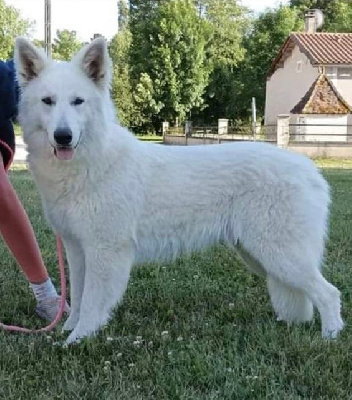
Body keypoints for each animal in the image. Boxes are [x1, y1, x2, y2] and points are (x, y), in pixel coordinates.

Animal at [15, 38, 342, 344]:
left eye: (78, 101)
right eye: (48, 101)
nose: (63, 137)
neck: (90, 161)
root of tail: (310, 170)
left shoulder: (104, 251)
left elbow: (93, 303)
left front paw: (78, 339)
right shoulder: (77, 249)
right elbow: (80, 298)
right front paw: (68, 330)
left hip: (279, 254)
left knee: (329, 293)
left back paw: (330, 337)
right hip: (258, 255)